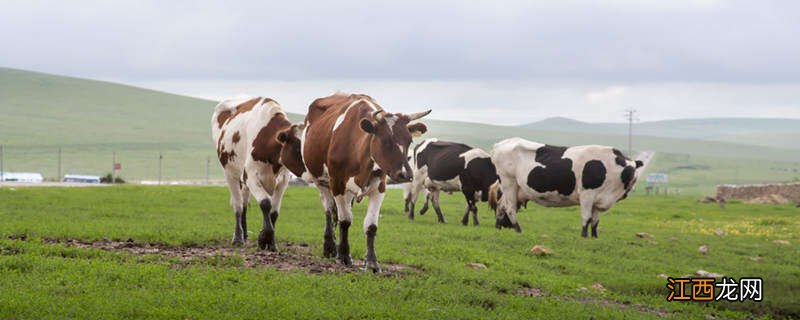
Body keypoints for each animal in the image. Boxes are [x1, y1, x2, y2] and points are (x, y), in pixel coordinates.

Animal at [211, 96, 304, 251]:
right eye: (297, 148)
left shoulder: (283, 181)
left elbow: (274, 212)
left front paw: (271, 242)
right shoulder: (250, 176)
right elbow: (265, 203)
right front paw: (264, 238)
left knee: (244, 203)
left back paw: (245, 234)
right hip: (230, 173)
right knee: (237, 205)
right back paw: (238, 237)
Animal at [300, 92, 428, 272]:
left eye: (409, 141)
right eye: (385, 141)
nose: (405, 174)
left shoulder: (379, 187)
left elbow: (370, 226)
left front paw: (372, 262)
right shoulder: (337, 184)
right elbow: (345, 220)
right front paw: (344, 256)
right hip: (320, 181)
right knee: (329, 210)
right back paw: (330, 247)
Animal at [488, 138, 644, 238]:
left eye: (635, 171)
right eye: (629, 171)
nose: (632, 184)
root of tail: (500, 144)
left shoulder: (598, 199)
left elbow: (595, 221)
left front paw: (594, 237)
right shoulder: (587, 194)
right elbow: (587, 218)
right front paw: (584, 236)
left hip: (515, 189)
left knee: (501, 205)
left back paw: (498, 227)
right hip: (509, 183)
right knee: (510, 208)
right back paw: (518, 230)